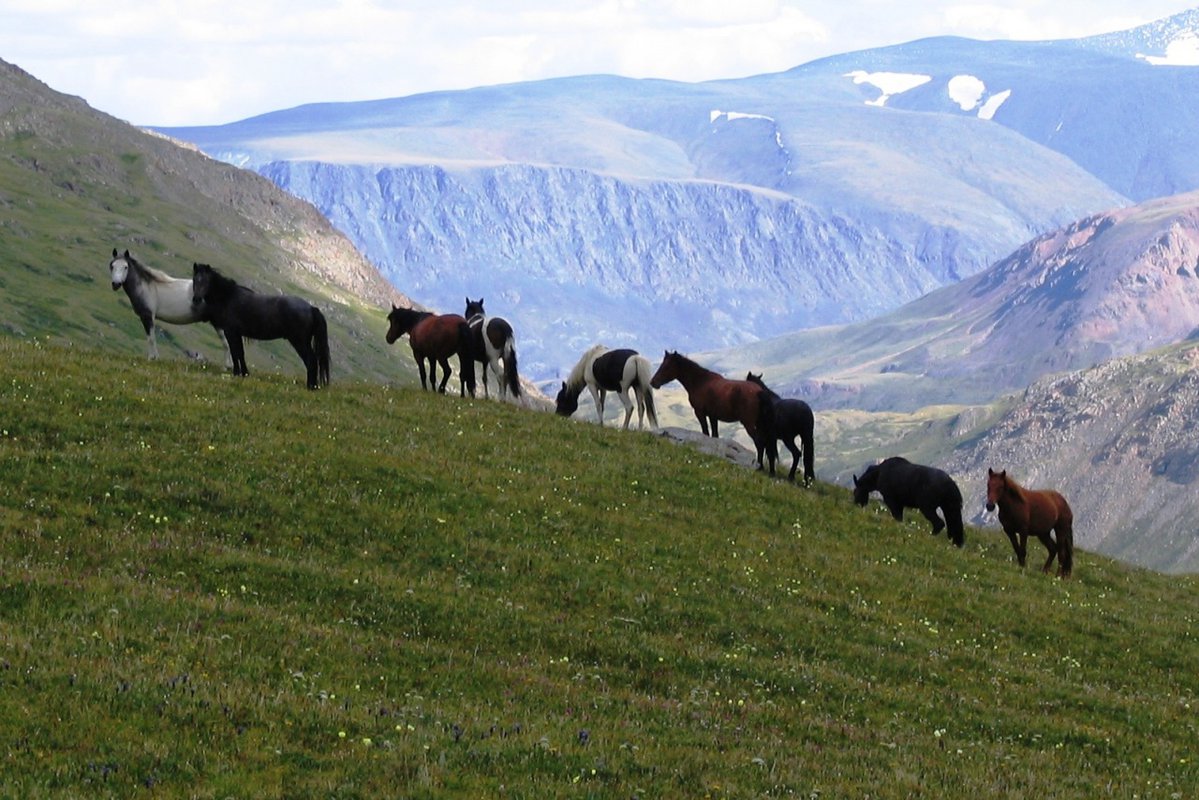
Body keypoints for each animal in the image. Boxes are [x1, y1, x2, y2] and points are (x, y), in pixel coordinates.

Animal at [193, 262, 333, 391]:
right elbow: (240, 353)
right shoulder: (237, 333)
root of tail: (310, 308)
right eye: (195, 280)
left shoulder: (231, 332)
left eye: (205, 281)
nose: (196, 299)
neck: (228, 297)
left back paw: (311, 386)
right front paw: (244, 373)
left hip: (300, 342)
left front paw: (237, 373)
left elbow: (235, 352)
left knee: (311, 360)